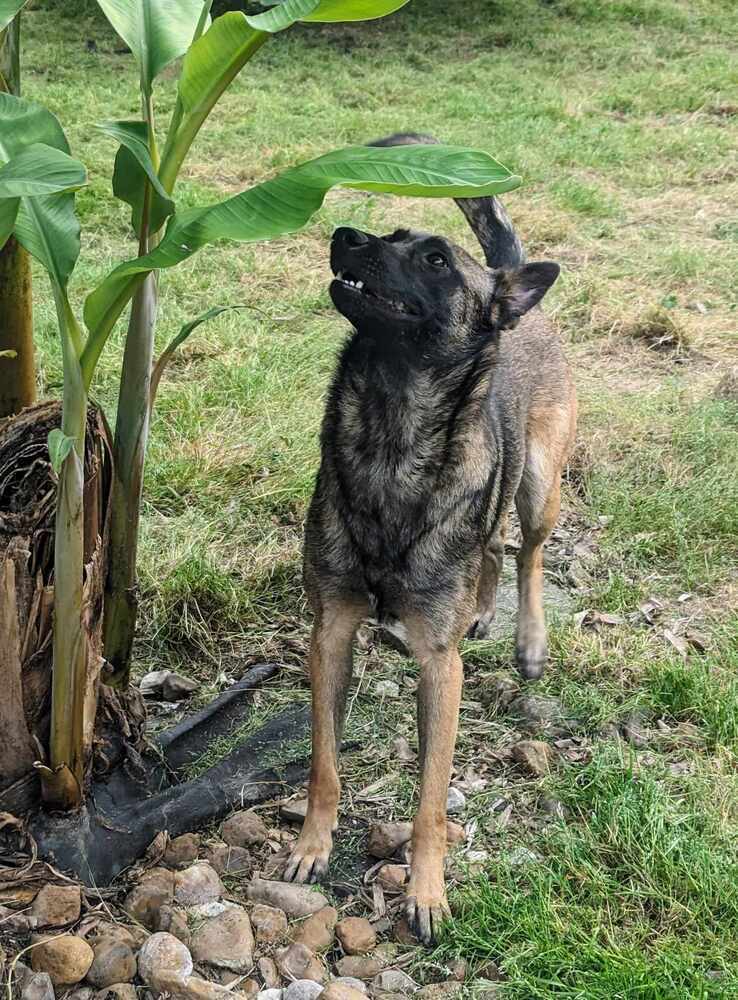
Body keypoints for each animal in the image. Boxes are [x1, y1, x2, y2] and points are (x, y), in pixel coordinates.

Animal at [282, 135, 576, 944]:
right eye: (387, 234)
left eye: (438, 260)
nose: (346, 234)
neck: (390, 428)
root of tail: (515, 300)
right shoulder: (331, 633)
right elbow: (323, 762)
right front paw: (312, 845)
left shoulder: (440, 671)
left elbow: (430, 802)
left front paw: (427, 891)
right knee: (492, 547)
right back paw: (482, 608)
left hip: (540, 482)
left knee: (527, 549)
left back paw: (528, 640)